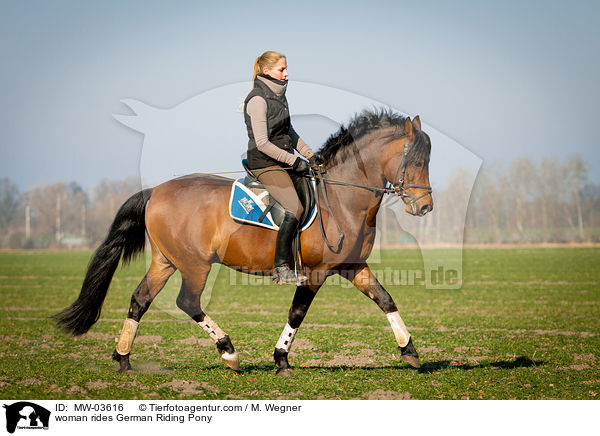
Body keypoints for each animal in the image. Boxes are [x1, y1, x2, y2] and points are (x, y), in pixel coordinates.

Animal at [52, 108, 432, 374]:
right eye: (415, 160)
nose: (425, 206)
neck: (340, 198)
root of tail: (155, 191)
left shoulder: (353, 266)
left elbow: (385, 299)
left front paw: (410, 351)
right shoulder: (316, 272)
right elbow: (297, 313)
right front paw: (281, 360)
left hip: (165, 261)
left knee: (139, 300)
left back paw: (123, 358)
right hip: (194, 265)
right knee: (187, 302)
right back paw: (229, 352)